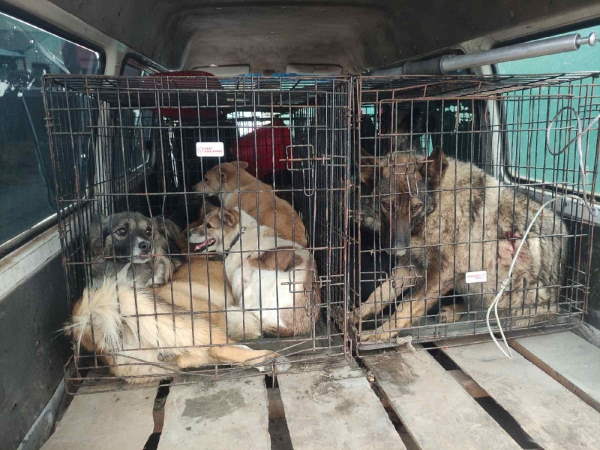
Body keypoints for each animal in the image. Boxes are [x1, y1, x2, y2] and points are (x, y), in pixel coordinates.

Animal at [355, 148, 567, 341]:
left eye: (415, 207)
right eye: (385, 205)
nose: (397, 250)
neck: (437, 207)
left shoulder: (442, 273)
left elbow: (405, 308)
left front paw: (380, 335)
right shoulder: (411, 267)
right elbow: (378, 295)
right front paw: (354, 316)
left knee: (499, 311)